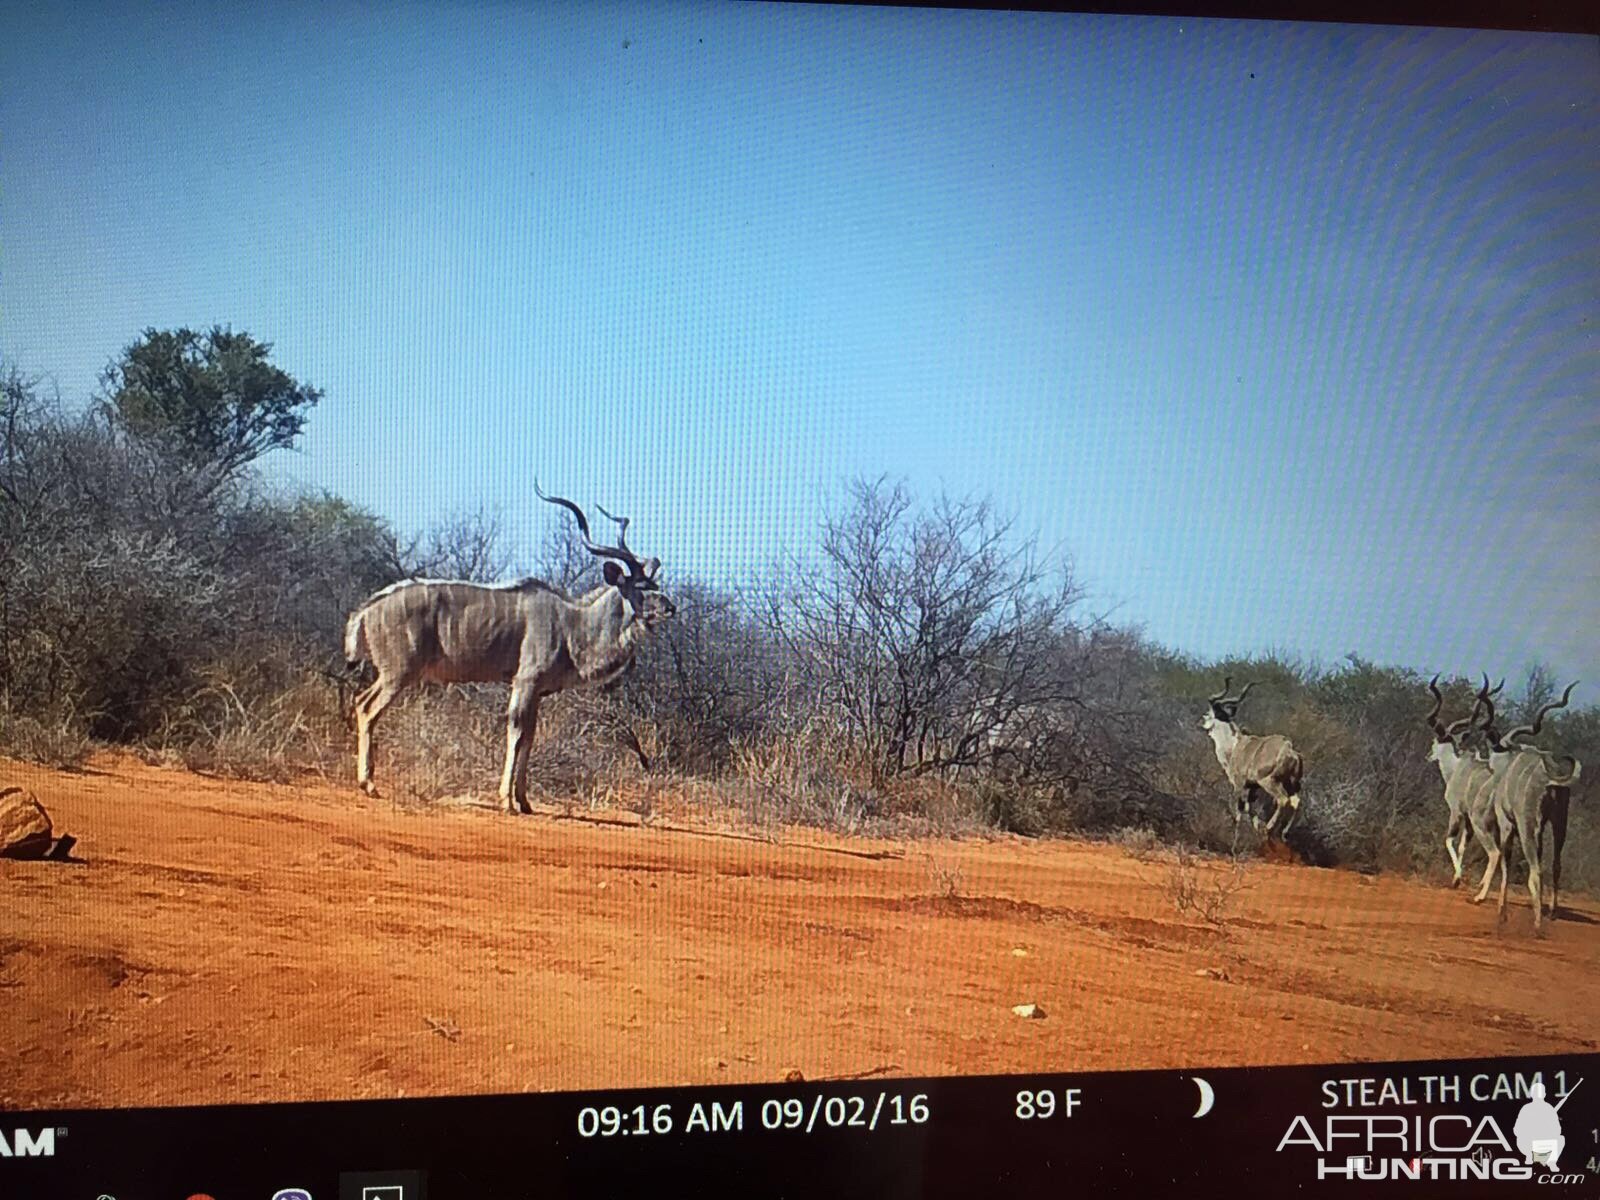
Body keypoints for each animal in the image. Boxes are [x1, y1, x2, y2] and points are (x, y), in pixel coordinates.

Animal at [344, 489, 675, 819]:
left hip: (391, 675)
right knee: (369, 709)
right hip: (399, 674)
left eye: (655, 584)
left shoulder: (537, 692)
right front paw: (507, 801)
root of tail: (366, 611)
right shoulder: (525, 682)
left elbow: (530, 737)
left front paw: (525, 801)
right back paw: (368, 784)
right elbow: (516, 734)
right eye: (640, 587)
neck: (572, 624)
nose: (670, 607)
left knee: (360, 700)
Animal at [1203, 681, 1299, 838]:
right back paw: (1283, 832)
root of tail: (1289, 751)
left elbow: (1238, 809)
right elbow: (1249, 809)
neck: (1234, 745)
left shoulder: (1240, 784)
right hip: (1290, 784)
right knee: (1295, 801)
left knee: (1283, 799)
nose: (1201, 723)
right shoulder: (1252, 787)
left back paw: (1270, 826)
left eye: (1207, 714)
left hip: (1269, 782)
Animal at [1478, 684, 1580, 928]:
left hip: (1527, 828)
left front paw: (1501, 911)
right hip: (1559, 823)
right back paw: (1551, 912)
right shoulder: (1541, 828)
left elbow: (1505, 861)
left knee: (1536, 870)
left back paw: (1537, 923)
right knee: (1555, 864)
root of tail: (1551, 777)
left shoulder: (1507, 824)